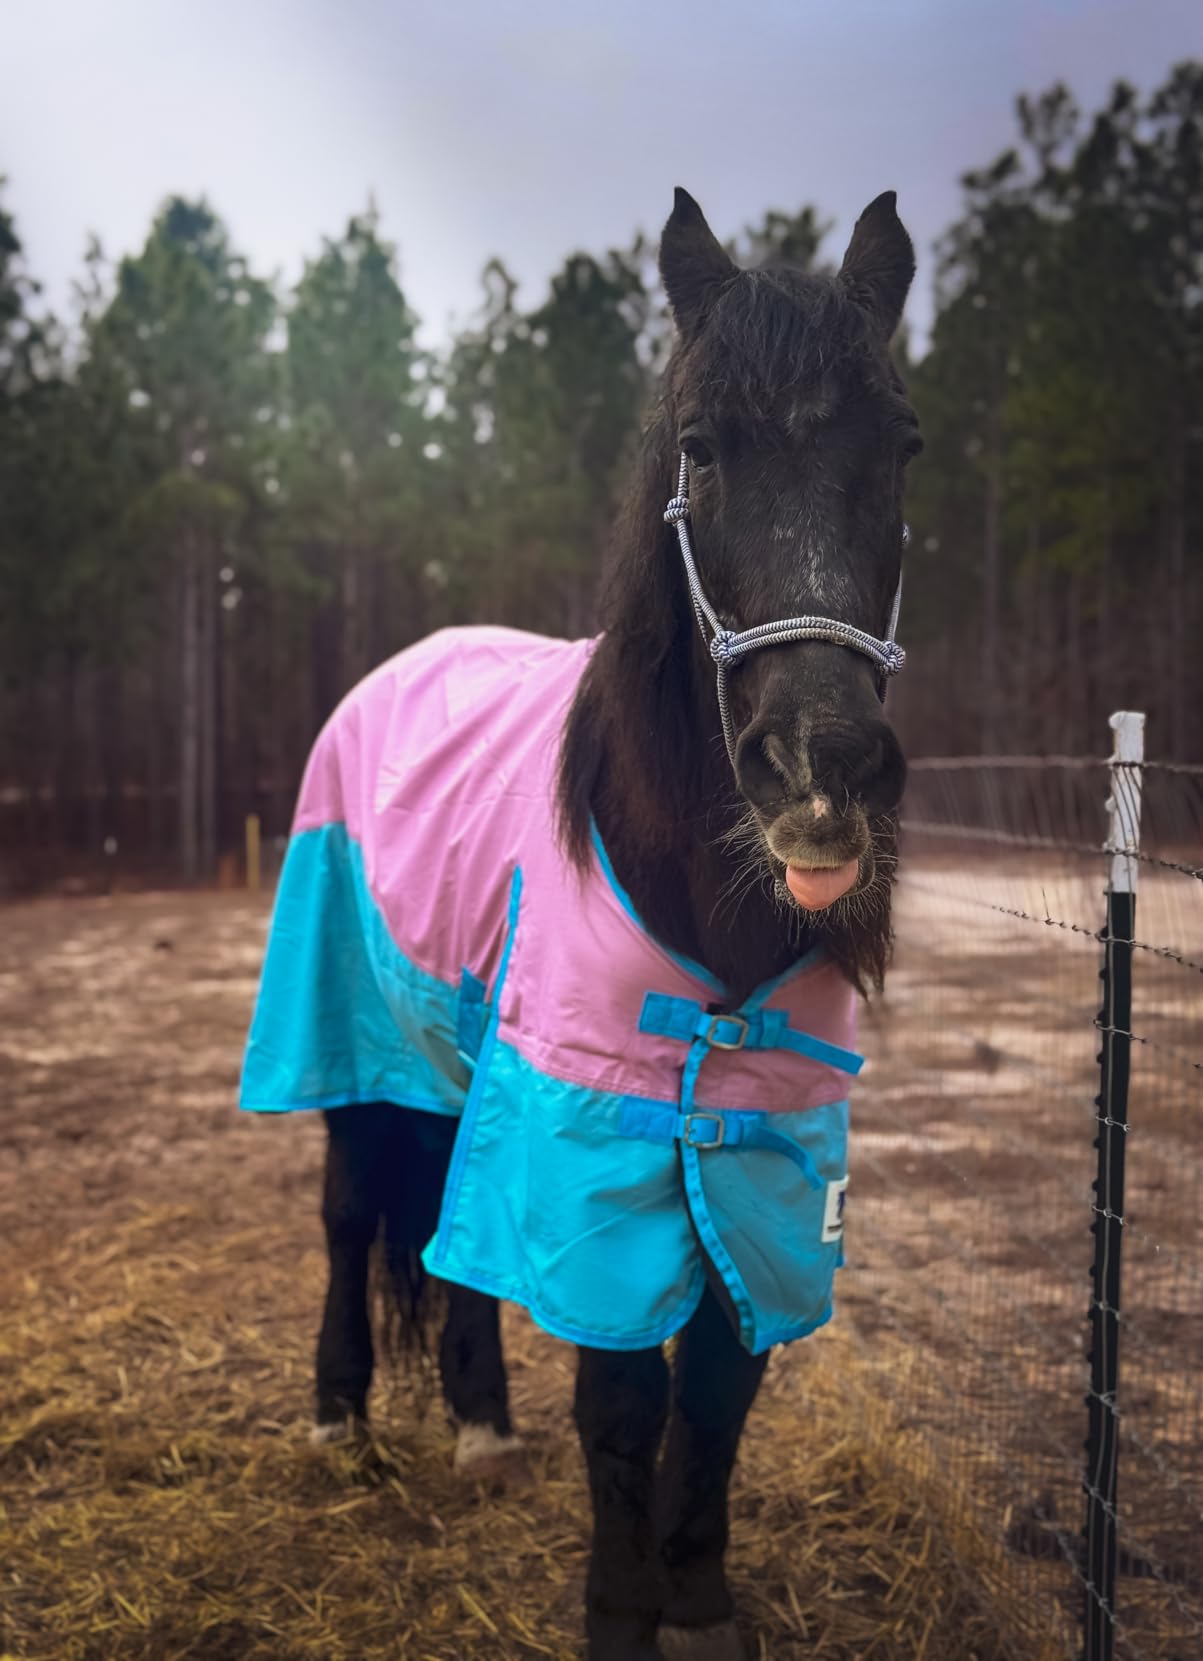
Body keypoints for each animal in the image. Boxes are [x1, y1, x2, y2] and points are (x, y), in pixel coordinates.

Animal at [240, 186, 919, 1661]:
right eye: (700, 448)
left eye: (900, 448)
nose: (821, 770)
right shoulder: (585, 1123)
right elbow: (621, 1399)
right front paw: (620, 1610)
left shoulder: (767, 1142)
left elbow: (715, 1384)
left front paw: (699, 1600)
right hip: (351, 1037)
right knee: (347, 1214)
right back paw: (338, 1416)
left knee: (443, 1224)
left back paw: (483, 1426)